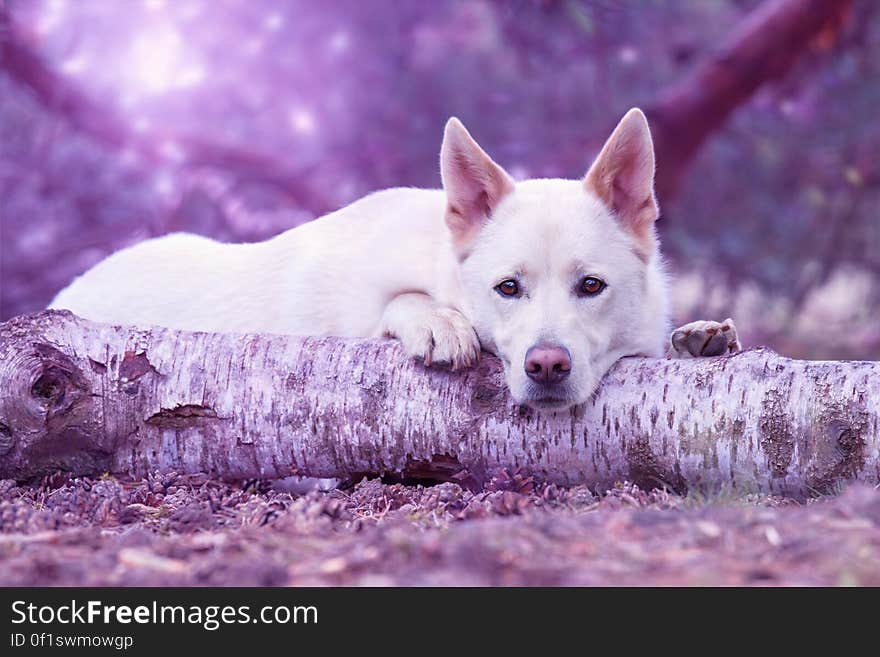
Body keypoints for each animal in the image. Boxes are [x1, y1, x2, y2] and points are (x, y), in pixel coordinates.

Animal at [48, 111, 736, 410]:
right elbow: (399, 302)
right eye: (507, 288)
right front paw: (436, 321)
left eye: (591, 286)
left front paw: (699, 341)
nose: (546, 366)